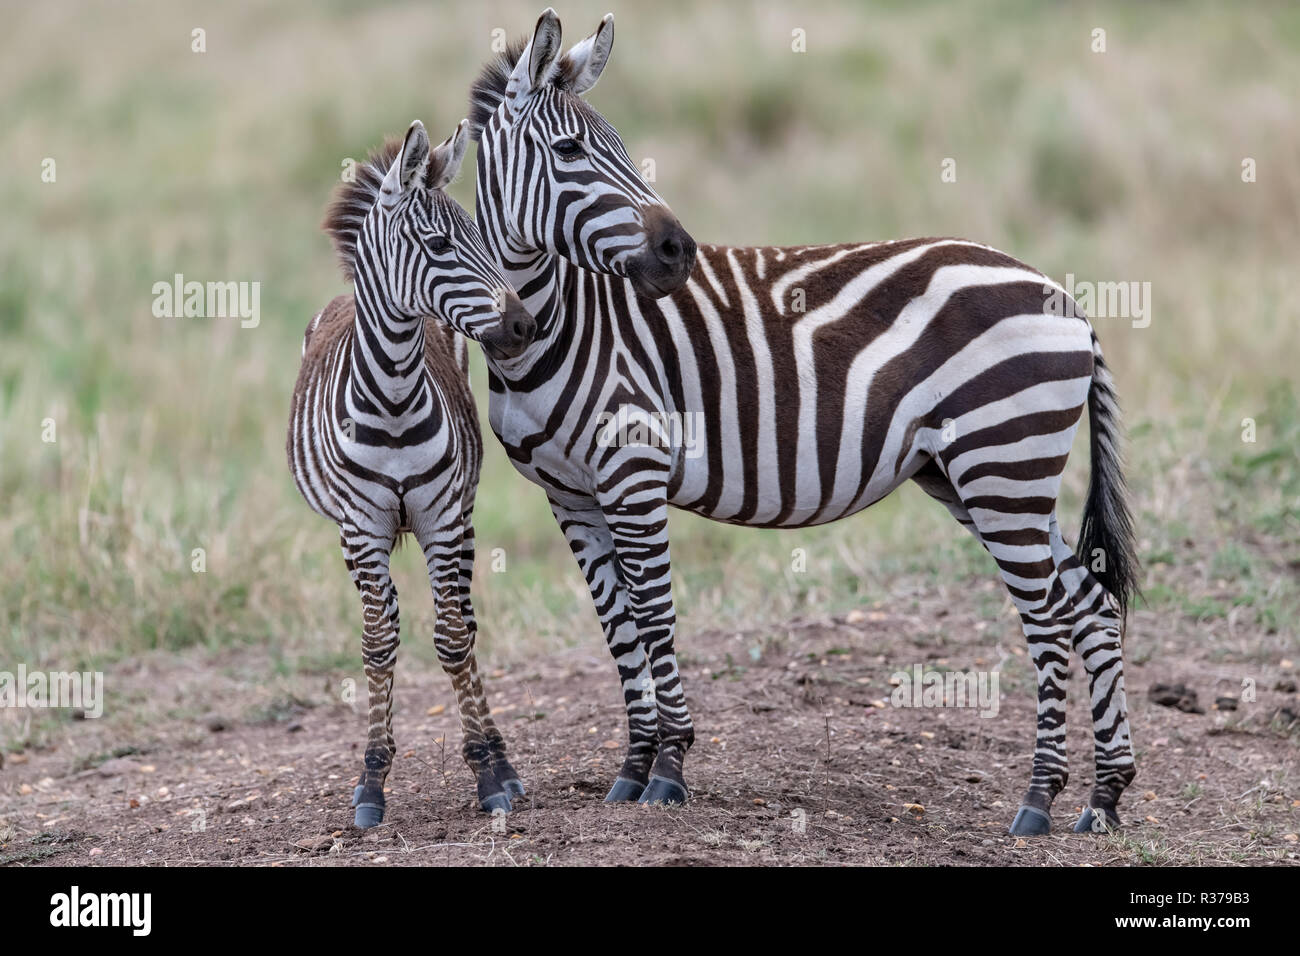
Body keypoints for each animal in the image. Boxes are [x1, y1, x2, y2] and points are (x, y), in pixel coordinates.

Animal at [289, 119, 538, 827]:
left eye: (481, 235)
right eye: (437, 244)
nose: (522, 325)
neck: (394, 400)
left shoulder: (442, 516)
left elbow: (453, 639)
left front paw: (489, 774)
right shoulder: (362, 527)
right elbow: (378, 644)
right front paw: (371, 782)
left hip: (463, 520)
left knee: (466, 622)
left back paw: (500, 758)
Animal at [467, 9, 1138, 837]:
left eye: (620, 146)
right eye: (569, 152)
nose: (677, 252)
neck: (556, 322)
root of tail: (1063, 297)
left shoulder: (633, 469)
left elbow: (654, 615)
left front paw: (669, 769)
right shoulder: (569, 493)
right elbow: (618, 628)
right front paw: (631, 771)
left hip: (1002, 466)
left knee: (1047, 619)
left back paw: (1039, 800)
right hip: (987, 476)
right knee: (1090, 607)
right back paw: (1104, 798)